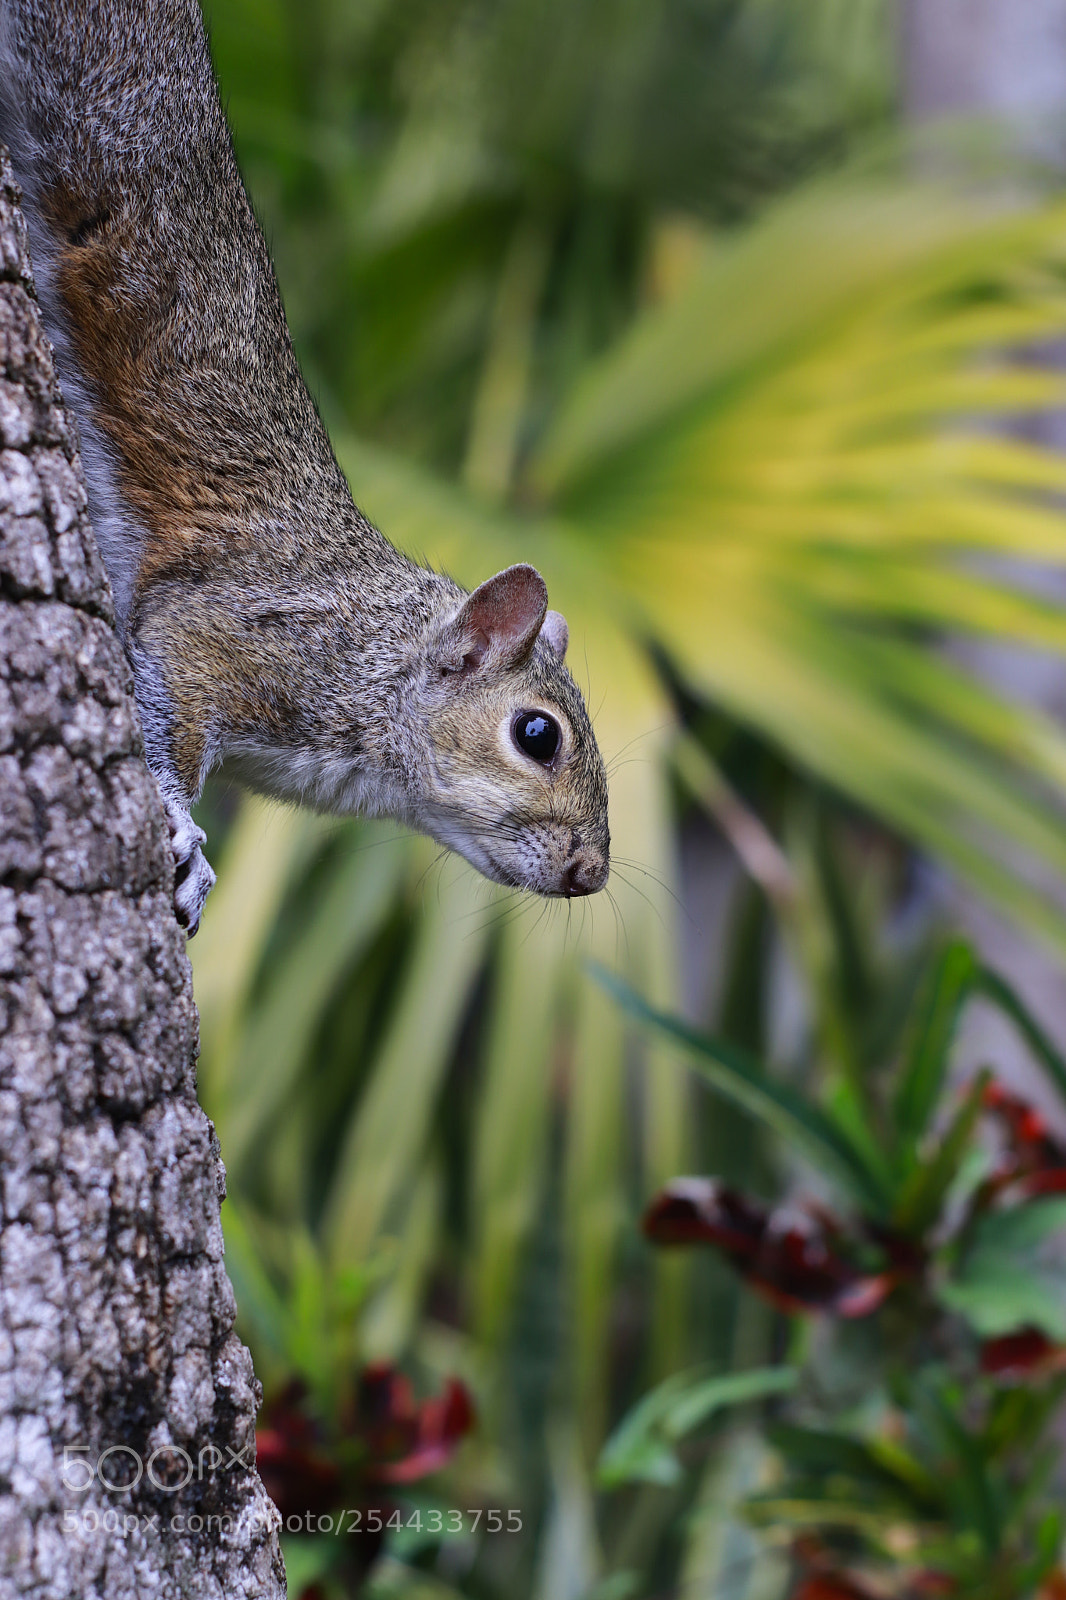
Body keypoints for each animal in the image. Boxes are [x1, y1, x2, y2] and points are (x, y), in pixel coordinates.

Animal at [0, 0, 609, 933]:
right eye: (538, 736)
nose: (591, 871)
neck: (383, 662)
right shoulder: (242, 635)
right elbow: (169, 702)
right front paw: (184, 840)